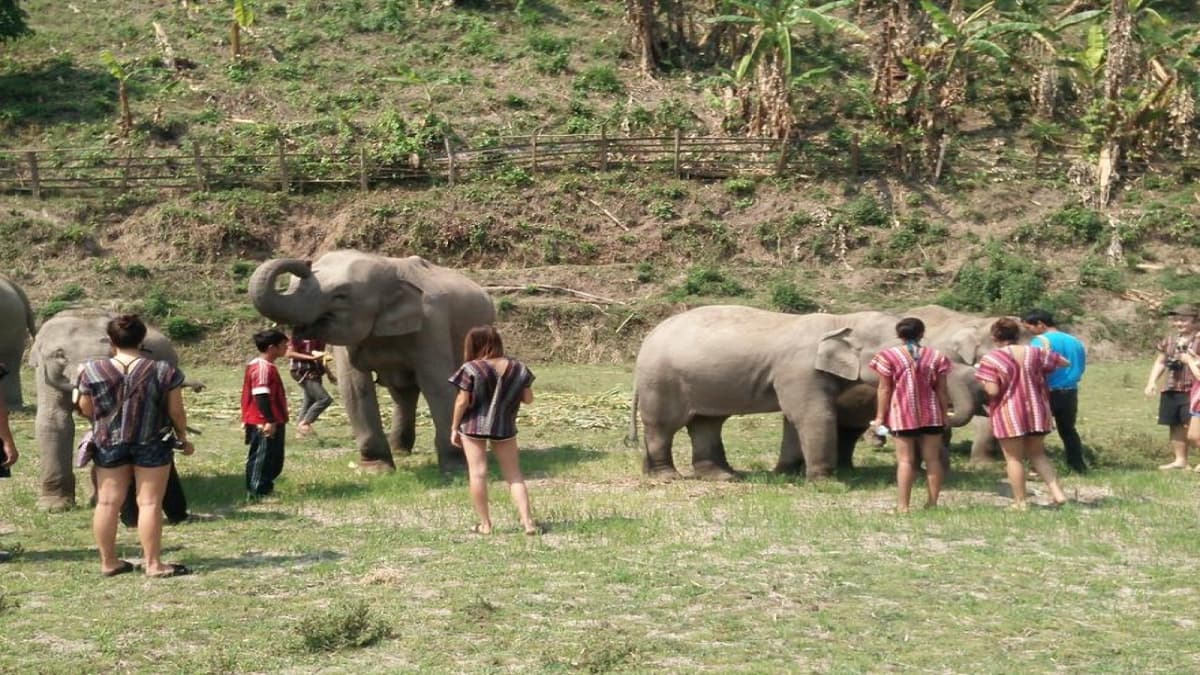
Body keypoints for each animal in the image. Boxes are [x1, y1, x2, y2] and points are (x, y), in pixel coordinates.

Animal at [248, 250, 496, 473]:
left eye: (340, 295)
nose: (306, 262)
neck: (390, 269)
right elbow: (355, 388)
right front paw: (375, 469)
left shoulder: (431, 325)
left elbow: (437, 385)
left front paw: (456, 469)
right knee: (403, 392)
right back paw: (399, 450)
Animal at [630, 306, 978, 480]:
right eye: (905, 346)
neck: (841, 320)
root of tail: (645, 341)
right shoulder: (800, 370)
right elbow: (812, 415)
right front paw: (825, 481)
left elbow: (793, 419)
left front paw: (786, 474)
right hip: (662, 381)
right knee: (664, 426)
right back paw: (667, 477)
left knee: (706, 423)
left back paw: (721, 476)